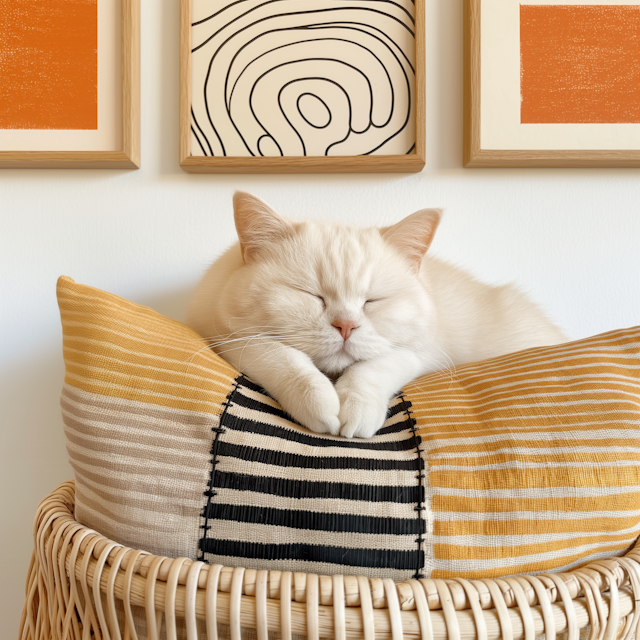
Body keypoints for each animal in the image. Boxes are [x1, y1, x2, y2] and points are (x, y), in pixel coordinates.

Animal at [186, 192, 564, 438]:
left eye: (372, 301)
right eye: (313, 295)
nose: (346, 326)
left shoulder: (420, 353)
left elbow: (372, 370)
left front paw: (355, 411)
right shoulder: (229, 338)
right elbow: (285, 359)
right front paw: (320, 405)